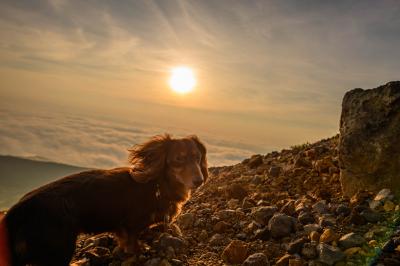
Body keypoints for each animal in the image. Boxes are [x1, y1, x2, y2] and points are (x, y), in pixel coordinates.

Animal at [2, 135, 209, 266]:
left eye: (197, 157)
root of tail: (16, 211)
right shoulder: (131, 226)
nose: (199, 180)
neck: (157, 185)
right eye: (179, 159)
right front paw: (137, 251)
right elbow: (132, 243)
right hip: (62, 246)